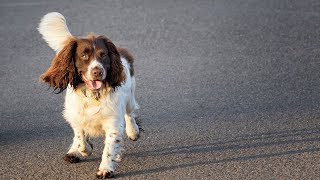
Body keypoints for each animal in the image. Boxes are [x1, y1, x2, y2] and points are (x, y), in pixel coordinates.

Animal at [37, 12, 140, 179]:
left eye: (103, 55)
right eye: (84, 56)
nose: (97, 72)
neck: (93, 95)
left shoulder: (112, 121)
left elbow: (110, 147)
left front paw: (105, 169)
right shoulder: (76, 115)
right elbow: (80, 136)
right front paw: (83, 150)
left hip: (130, 96)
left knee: (130, 114)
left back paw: (133, 132)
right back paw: (73, 152)